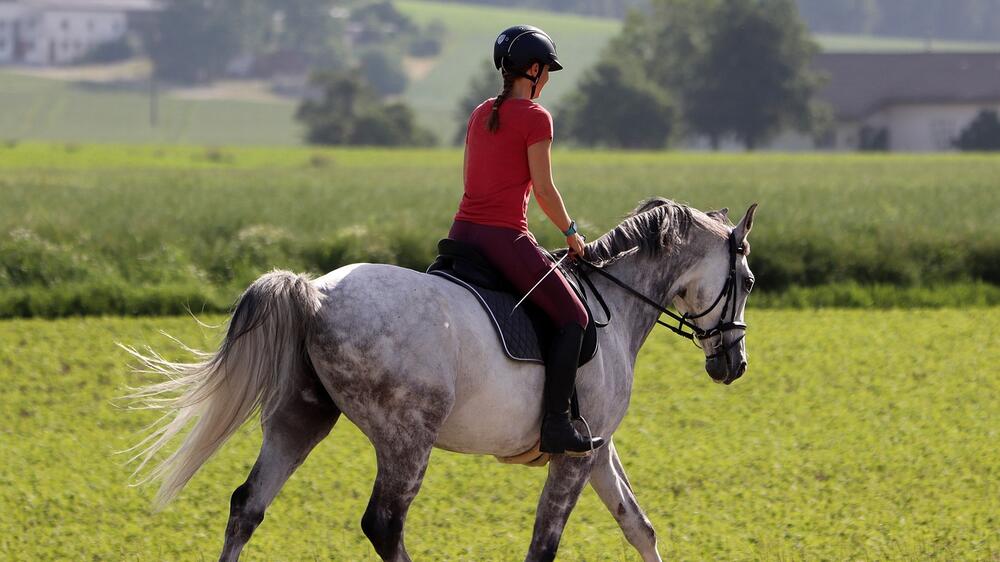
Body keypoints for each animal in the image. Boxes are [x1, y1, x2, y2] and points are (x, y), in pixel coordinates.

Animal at [121, 195, 752, 556]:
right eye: (746, 279)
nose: (734, 364)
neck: (616, 303)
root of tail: (316, 294)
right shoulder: (576, 456)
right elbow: (544, 544)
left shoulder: (596, 448)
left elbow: (637, 525)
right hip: (407, 437)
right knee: (383, 524)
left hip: (300, 420)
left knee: (247, 506)